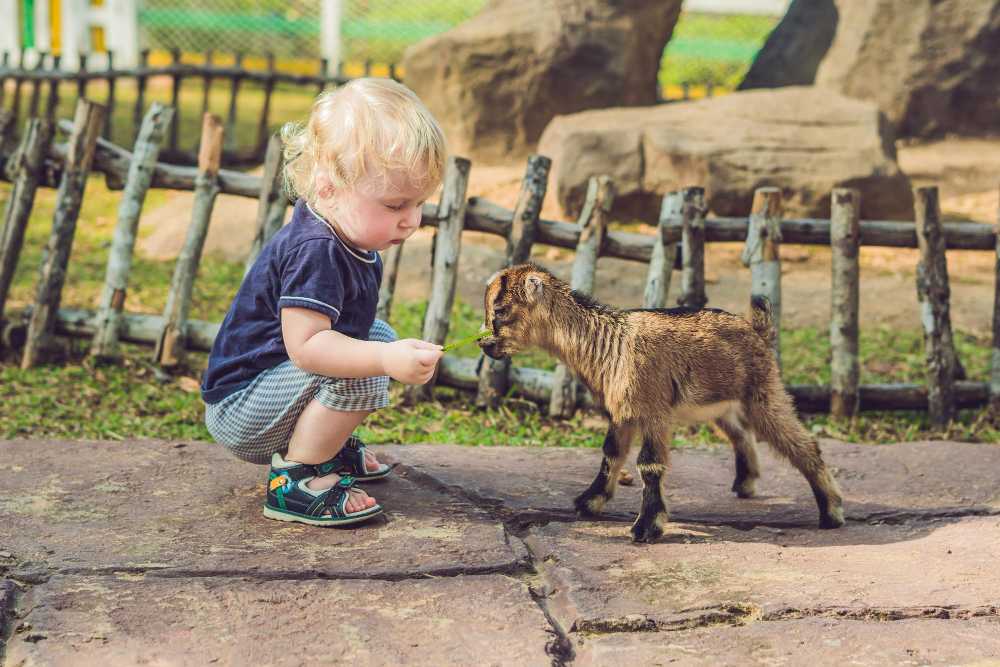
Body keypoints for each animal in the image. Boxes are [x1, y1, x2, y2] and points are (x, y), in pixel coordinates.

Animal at [476, 264, 844, 544]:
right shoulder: (623, 414)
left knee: (803, 444)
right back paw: (745, 483)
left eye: (500, 310)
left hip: (763, 393)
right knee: (741, 434)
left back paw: (832, 512)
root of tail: (758, 330)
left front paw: (646, 527)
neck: (610, 344)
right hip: (719, 404)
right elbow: (611, 454)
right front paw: (589, 503)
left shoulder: (652, 411)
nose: (483, 344)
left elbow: (649, 465)